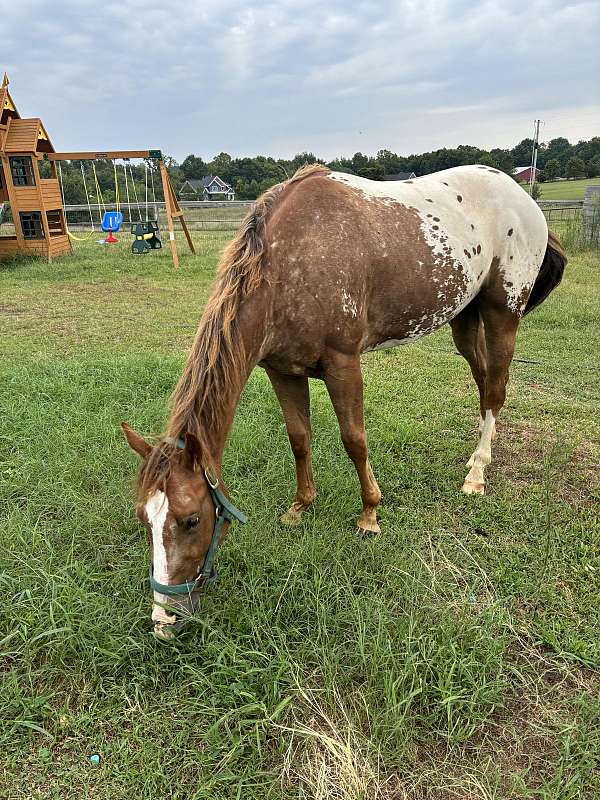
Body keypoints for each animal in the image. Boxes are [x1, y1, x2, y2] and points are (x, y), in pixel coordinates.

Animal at [123, 162, 568, 636]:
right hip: (463, 317)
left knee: (497, 388)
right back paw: (478, 451)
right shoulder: (282, 371)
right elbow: (299, 438)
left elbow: (354, 440)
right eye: (144, 518)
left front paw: (369, 515)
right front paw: (300, 507)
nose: (163, 618)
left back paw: (477, 473)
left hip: (504, 312)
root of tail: (520, 195)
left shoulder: (343, 365)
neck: (290, 261)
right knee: (483, 382)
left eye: (191, 519)